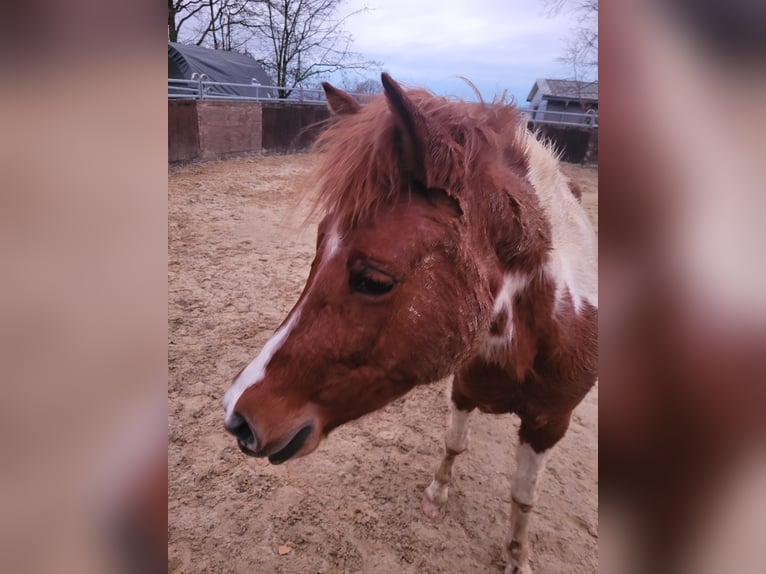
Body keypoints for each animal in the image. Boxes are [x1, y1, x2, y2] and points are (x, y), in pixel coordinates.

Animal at [222, 74, 600, 572]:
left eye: (373, 280)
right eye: (317, 249)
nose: (238, 419)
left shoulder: (549, 422)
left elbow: (524, 495)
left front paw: (517, 556)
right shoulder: (463, 388)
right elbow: (454, 444)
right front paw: (437, 495)